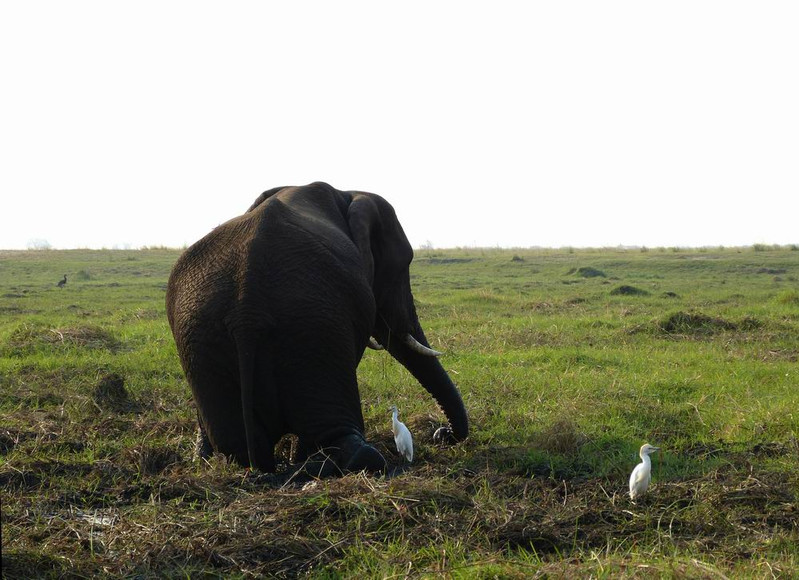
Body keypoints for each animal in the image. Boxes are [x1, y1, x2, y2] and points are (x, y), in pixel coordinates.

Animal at [166, 181, 472, 476]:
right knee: (355, 451)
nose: (442, 434)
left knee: (239, 447)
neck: (347, 193)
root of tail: (247, 313)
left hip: (210, 339)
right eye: (403, 265)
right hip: (310, 330)